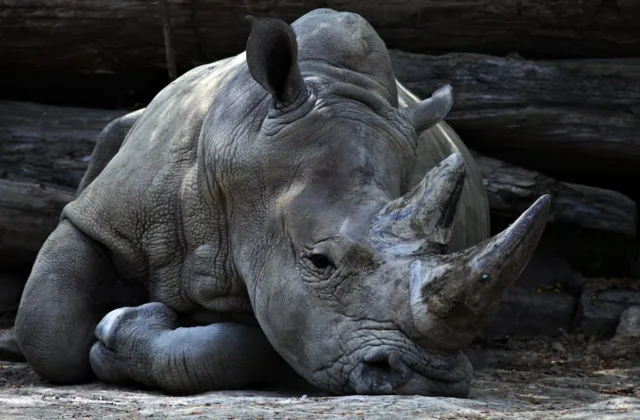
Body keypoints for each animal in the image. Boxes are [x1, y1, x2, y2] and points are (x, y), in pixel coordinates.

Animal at [13, 8, 550, 397]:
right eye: (319, 261)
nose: (426, 379)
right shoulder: (106, 217)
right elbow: (46, 327)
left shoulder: (299, 309)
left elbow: (262, 343)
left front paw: (125, 331)